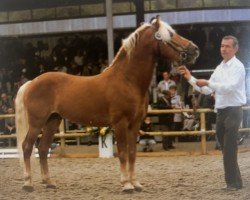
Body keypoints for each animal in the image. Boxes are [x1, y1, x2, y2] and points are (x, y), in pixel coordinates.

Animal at [15, 16, 199, 192]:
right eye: (170, 34)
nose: (194, 49)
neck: (127, 80)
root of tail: (32, 82)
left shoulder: (134, 124)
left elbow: (132, 153)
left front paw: (136, 183)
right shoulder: (120, 123)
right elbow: (123, 153)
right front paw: (126, 185)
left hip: (52, 121)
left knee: (43, 149)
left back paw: (49, 182)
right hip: (37, 122)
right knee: (27, 147)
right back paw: (28, 184)